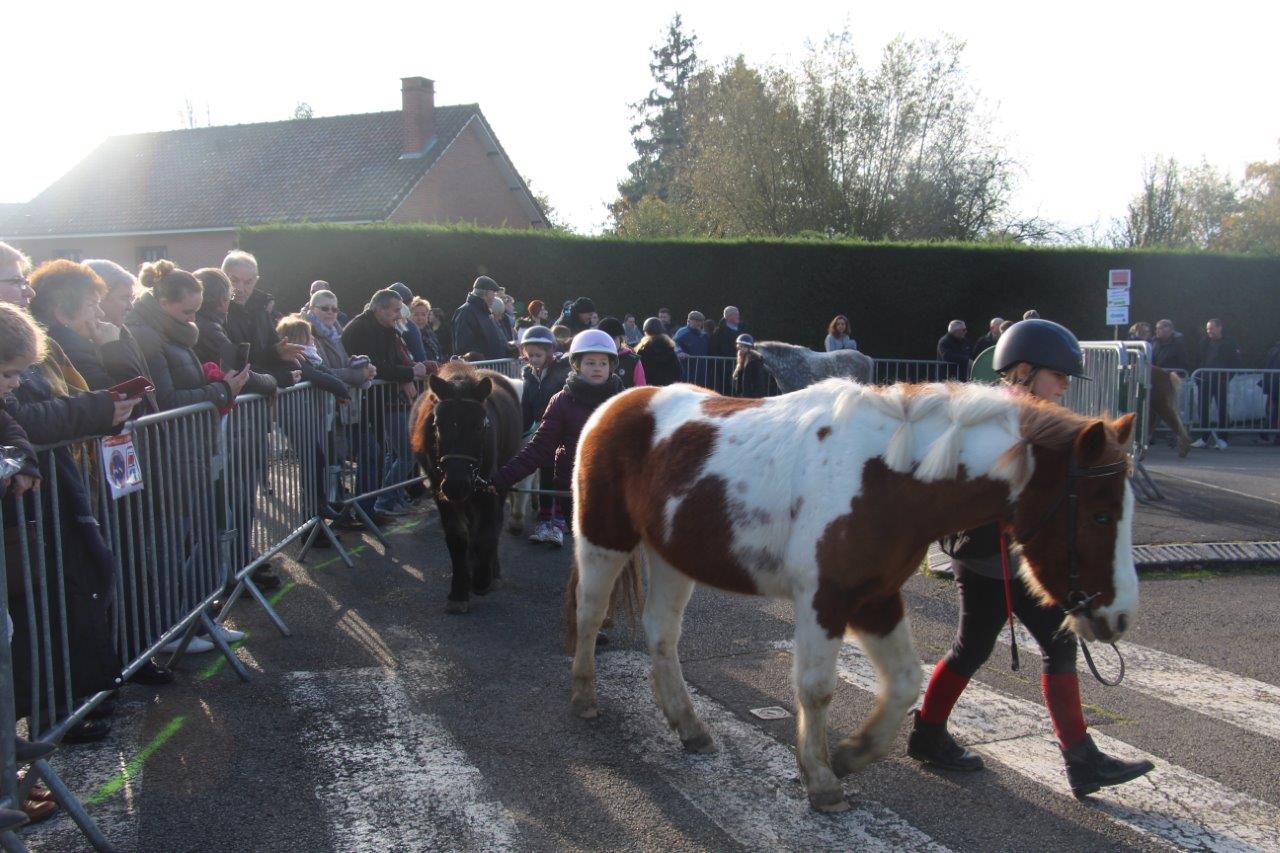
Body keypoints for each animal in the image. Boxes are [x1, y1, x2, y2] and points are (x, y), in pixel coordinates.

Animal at [409, 358, 519, 612]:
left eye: (479, 426)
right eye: (438, 425)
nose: (456, 485)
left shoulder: (489, 488)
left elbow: (487, 532)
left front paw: (482, 578)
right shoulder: (440, 492)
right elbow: (458, 537)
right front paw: (459, 591)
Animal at [565, 379, 1136, 809]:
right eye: (1100, 514)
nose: (1120, 617)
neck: (888, 477)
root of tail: (617, 403)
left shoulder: (876, 599)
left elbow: (906, 682)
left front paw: (852, 753)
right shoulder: (825, 600)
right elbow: (817, 689)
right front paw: (820, 779)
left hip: (672, 557)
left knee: (662, 637)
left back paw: (689, 726)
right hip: (603, 540)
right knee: (591, 617)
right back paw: (585, 697)